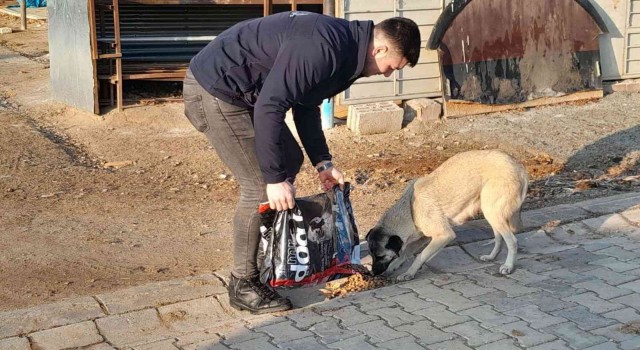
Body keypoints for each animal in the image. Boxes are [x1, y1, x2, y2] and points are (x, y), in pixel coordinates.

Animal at [368, 149, 528, 280]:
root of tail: (519, 167)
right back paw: (492, 256)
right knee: (499, 237)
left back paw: (508, 266)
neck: (410, 208)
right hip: (491, 212)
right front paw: (395, 265)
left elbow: (420, 255)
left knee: (512, 241)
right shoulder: (424, 237)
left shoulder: (444, 235)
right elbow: (406, 252)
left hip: (492, 211)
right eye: (372, 255)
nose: (373, 273)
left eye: (380, 256)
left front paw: (410, 272)